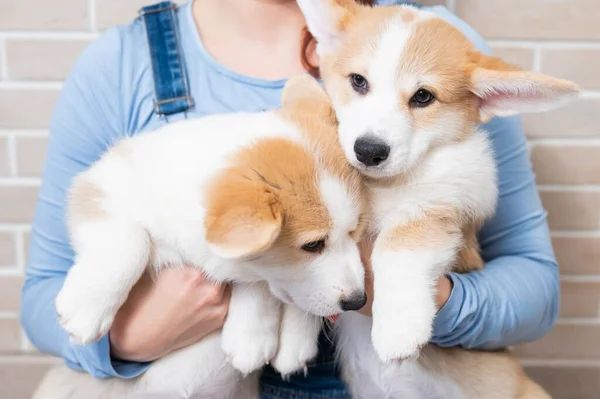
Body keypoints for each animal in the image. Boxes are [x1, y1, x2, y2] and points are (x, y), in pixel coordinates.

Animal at [298, 0, 580, 399]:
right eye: (358, 81)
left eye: (423, 97)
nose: (369, 151)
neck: (382, 185)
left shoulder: (438, 209)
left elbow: (395, 249)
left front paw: (398, 329)